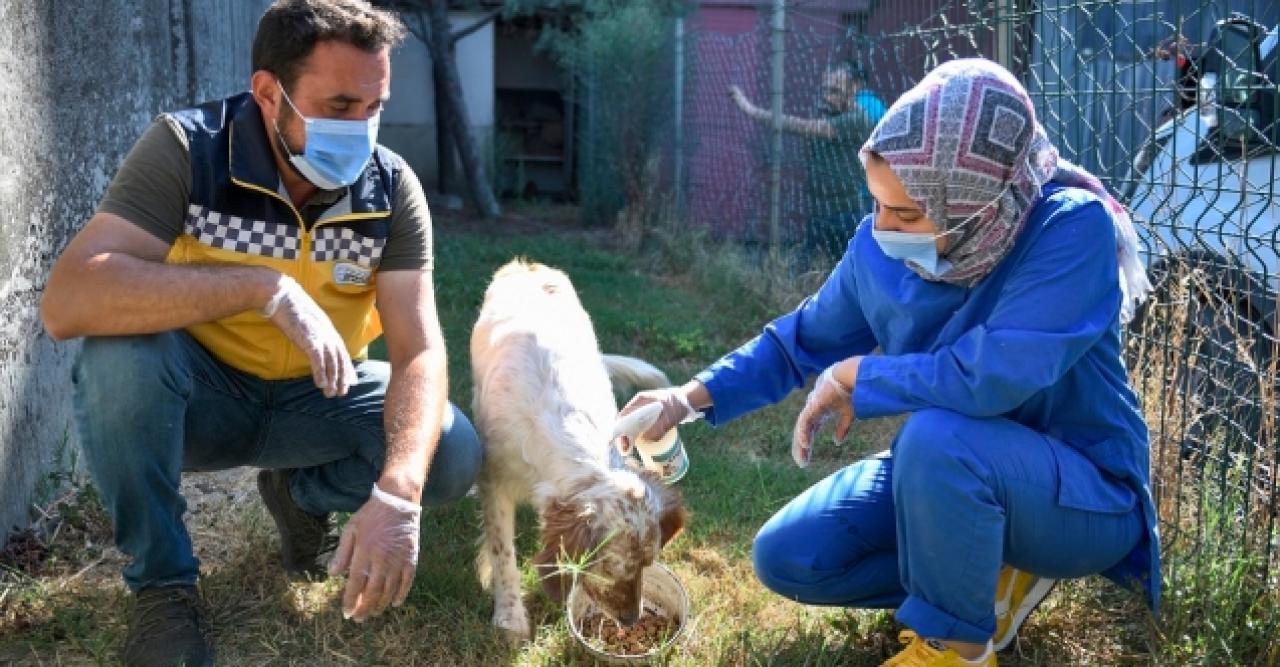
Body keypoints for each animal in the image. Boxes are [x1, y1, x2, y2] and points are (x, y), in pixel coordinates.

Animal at [473, 258, 691, 640]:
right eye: (610, 568)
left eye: (648, 563)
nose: (631, 620)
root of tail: (527, 263)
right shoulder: (494, 478)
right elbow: (502, 551)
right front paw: (510, 616)